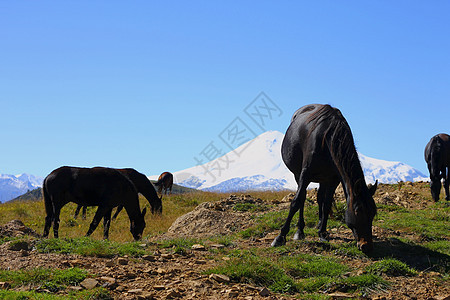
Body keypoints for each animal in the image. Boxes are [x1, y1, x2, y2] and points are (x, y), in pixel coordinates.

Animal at [272, 104, 378, 254]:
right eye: (358, 210)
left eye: (373, 213)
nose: (367, 246)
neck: (328, 141)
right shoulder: (305, 174)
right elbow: (296, 201)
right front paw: (280, 237)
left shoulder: (333, 179)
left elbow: (327, 204)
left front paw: (322, 232)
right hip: (298, 175)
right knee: (303, 198)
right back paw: (300, 231)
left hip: (323, 179)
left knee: (320, 198)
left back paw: (319, 225)